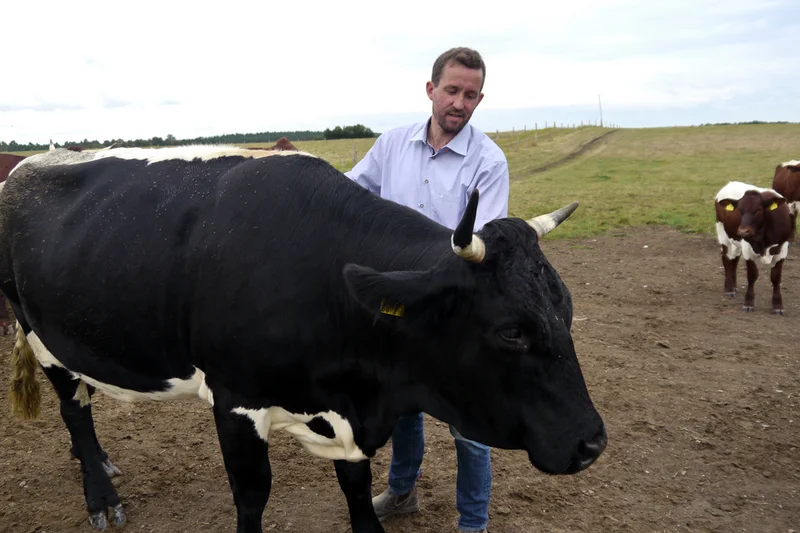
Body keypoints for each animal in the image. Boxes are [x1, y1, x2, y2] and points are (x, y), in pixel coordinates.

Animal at [1, 145, 606, 533]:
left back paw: (102, 465)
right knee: (75, 411)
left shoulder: (349, 412)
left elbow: (357, 491)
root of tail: (35, 159)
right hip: (40, 333)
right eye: (512, 332)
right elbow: (252, 495)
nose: (593, 443)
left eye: (567, 309)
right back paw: (101, 497)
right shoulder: (236, 399)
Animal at [714, 181, 793, 314]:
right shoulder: (747, 248)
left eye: (759, 209)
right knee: (726, 258)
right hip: (723, 233)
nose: (743, 231)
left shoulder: (782, 250)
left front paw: (778, 305)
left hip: (736, 240)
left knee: (734, 259)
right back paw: (729, 288)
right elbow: (752, 275)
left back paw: (734, 286)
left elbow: (776, 277)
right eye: (739, 210)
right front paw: (748, 302)